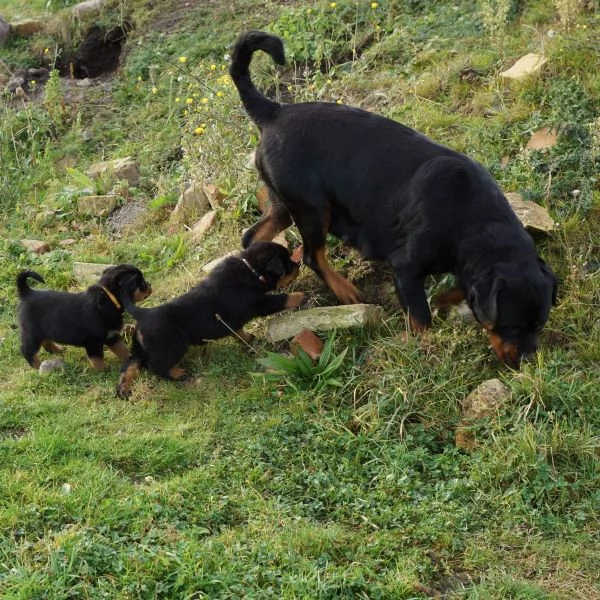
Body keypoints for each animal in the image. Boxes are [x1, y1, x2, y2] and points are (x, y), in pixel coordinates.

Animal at [18, 266, 152, 370]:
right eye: (140, 282)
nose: (150, 284)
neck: (109, 298)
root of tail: (27, 293)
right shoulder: (93, 341)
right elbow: (97, 358)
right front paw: (102, 370)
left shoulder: (111, 335)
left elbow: (121, 349)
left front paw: (129, 360)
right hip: (31, 332)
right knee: (27, 351)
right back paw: (37, 366)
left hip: (43, 329)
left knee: (46, 341)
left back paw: (57, 350)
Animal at [116, 239, 304, 398]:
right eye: (287, 263)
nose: (298, 264)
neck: (251, 270)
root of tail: (143, 313)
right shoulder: (258, 303)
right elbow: (282, 299)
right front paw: (301, 296)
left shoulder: (232, 319)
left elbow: (238, 331)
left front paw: (247, 339)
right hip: (173, 345)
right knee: (156, 366)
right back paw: (178, 374)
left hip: (141, 347)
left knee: (130, 366)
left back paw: (123, 389)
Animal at [229, 30, 556, 368]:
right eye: (512, 325)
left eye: (539, 324)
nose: (528, 360)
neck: (471, 220)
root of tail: (274, 111)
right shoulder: (405, 266)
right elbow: (421, 317)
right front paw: (423, 351)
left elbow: (458, 289)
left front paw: (445, 298)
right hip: (313, 209)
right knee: (311, 255)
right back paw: (344, 291)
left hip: (284, 202)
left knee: (252, 236)